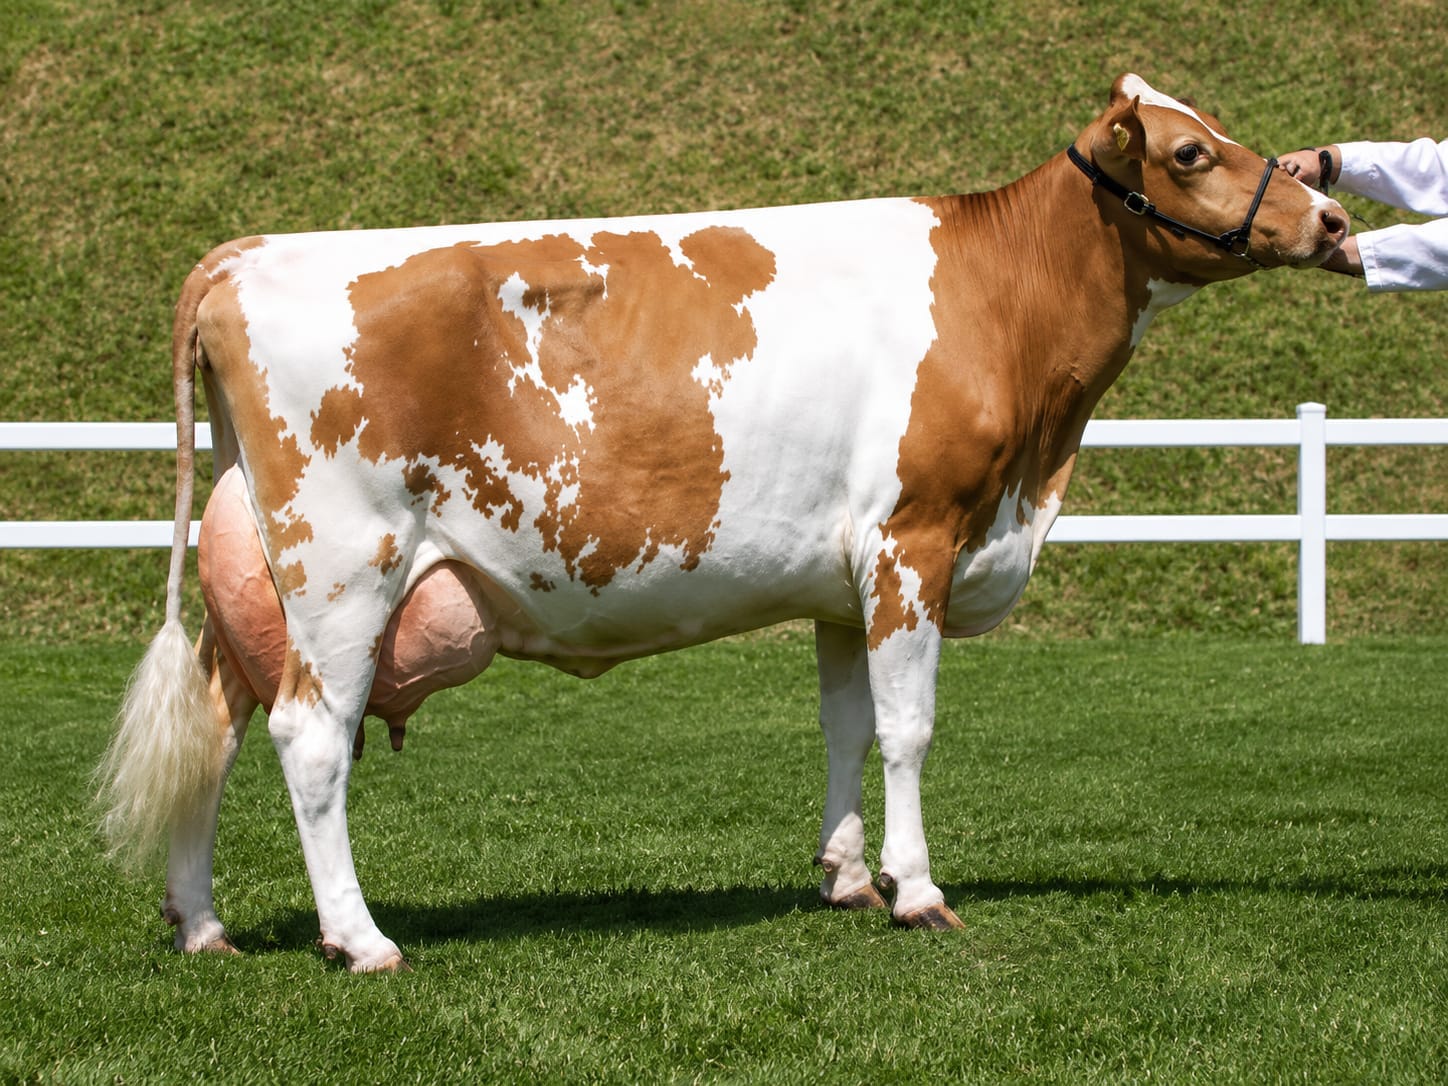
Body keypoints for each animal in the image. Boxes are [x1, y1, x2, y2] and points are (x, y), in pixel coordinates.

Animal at [99, 75, 1348, 972]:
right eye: (1188, 154)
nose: (1331, 212)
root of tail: (248, 251)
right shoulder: (913, 540)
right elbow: (908, 728)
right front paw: (918, 892)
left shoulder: (844, 576)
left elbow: (845, 725)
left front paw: (845, 876)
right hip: (344, 569)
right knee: (308, 740)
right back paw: (359, 941)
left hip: (254, 577)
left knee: (212, 728)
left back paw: (200, 924)